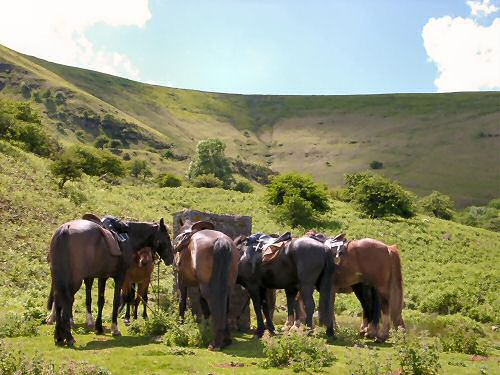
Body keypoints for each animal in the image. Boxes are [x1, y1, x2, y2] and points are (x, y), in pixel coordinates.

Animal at [48, 219, 174, 348]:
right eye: (167, 237)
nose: (171, 258)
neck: (128, 238)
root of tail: (65, 229)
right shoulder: (120, 277)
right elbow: (116, 300)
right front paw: (115, 329)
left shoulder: (102, 276)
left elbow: (101, 301)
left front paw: (98, 327)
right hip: (74, 281)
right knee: (66, 302)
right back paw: (69, 337)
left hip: (59, 279)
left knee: (58, 302)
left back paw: (58, 336)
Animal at [175, 219, 239, 352]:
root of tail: (221, 241)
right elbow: (204, 307)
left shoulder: (181, 281)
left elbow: (182, 302)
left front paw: (181, 324)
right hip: (227, 287)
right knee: (224, 307)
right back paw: (225, 340)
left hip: (208, 288)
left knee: (214, 305)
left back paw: (216, 342)